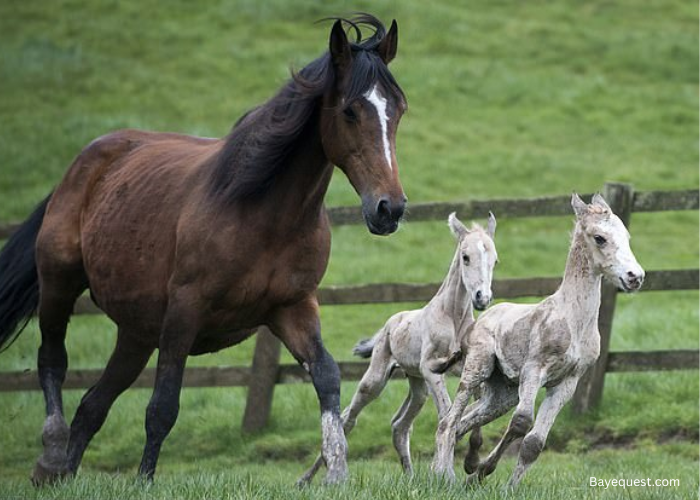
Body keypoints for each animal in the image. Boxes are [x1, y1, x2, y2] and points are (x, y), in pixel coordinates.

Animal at [0, 15, 407, 485]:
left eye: (398, 109)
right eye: (349, 111)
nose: (390, 208)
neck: (263, 215)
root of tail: (83, 164)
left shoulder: (293, 307)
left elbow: (326, 376)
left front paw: (337, 473)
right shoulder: (184, 310)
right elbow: (162, 406)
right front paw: (145, 482)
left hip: (136, 332)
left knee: (92, 406)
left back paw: (61, 473)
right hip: (59, 283)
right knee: (53, 360)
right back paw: (51, 455)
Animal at [297, 212, 498, 486]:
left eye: (495, 260)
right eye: (466, 257)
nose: (482, 298)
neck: (453, 318)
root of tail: (388, 324)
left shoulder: (464, 368)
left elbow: (469, 415)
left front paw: (471, 463)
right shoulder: (431, 368)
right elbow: (448, 414)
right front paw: (450, 470)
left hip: (417, 385)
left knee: (399, 425)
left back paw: (410, 476)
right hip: (377, 379)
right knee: (348, 417)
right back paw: (309, 477)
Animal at [431, 193, 644, 488]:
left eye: (626, 235)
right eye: (600, 238)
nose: (635, 277)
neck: (573, 319)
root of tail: (478, 322)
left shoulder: (568, 382)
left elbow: (534, 443)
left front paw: (502, 484)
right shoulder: (535, 369)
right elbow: (521, 422)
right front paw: (485, 471)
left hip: (502, 393)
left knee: (463, 422)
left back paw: (452, 470)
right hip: (478, 368)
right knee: (448, 422)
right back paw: (444, 477)